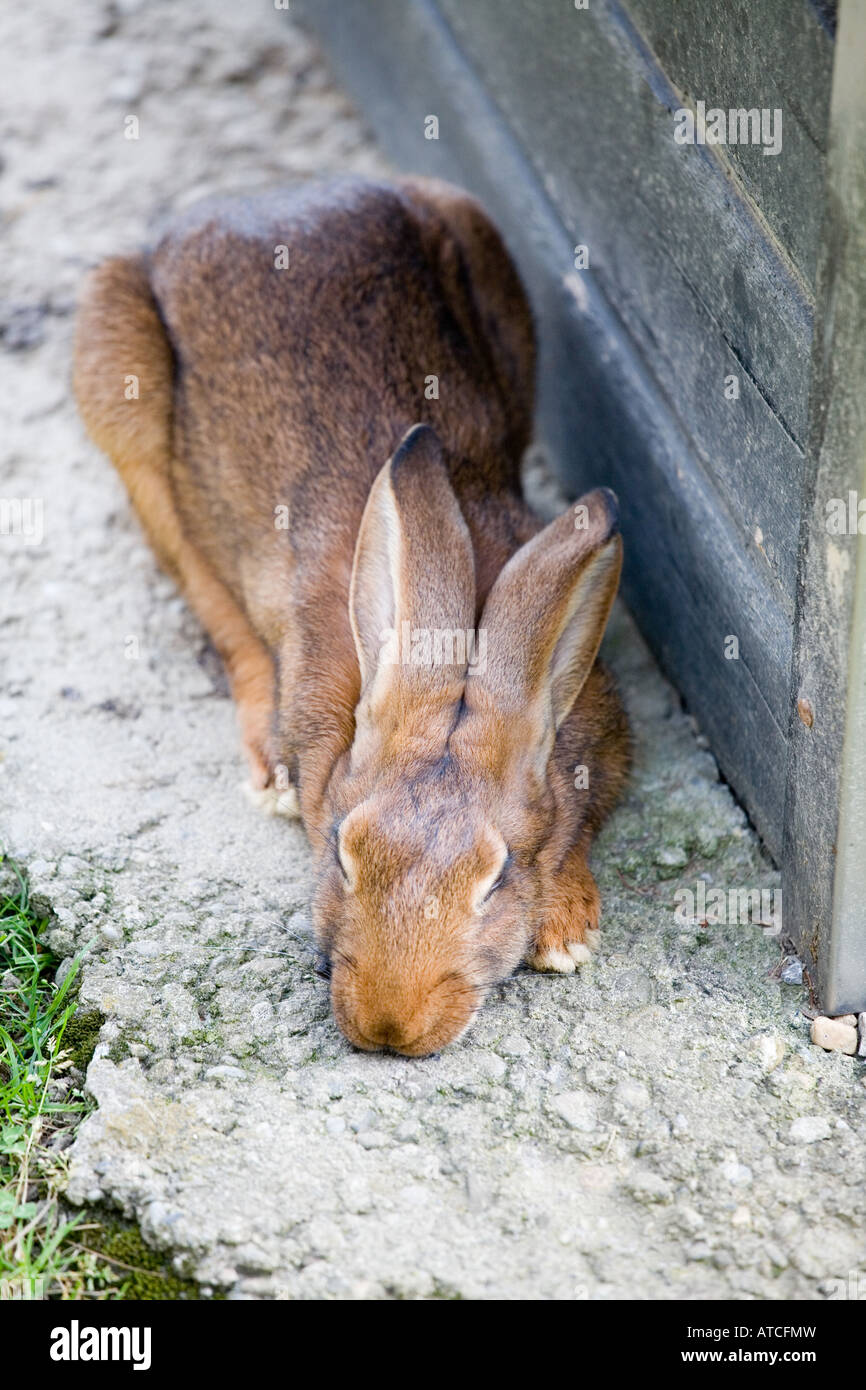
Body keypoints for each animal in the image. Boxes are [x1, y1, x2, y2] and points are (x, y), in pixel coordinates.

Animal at [74, 182, 631, 1050]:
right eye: (343, 852)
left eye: (497, 876)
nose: (389, 1026)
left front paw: (566, 930)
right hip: (119, 388)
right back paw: (269, 767)